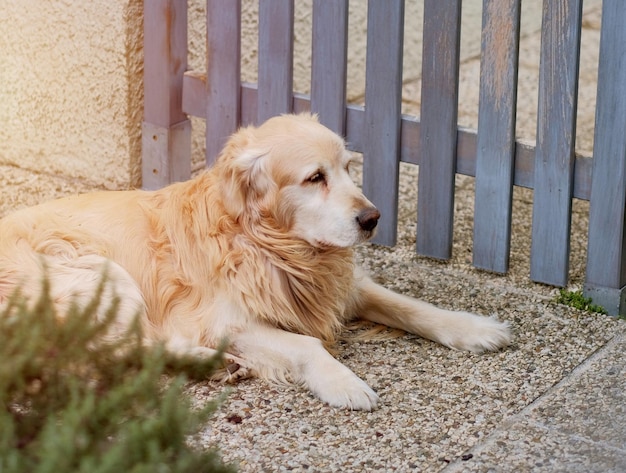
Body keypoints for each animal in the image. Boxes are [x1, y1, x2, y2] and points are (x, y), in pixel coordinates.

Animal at [0, 112, 508, 408]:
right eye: (315, 177)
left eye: (348, 167)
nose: (372, 218)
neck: (268, 244)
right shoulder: (226, 318)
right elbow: (307, 344)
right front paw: (343, 382)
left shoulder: (342, 284)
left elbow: (409, 305)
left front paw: (474, 328)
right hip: (100, 276)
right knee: (122, 348)